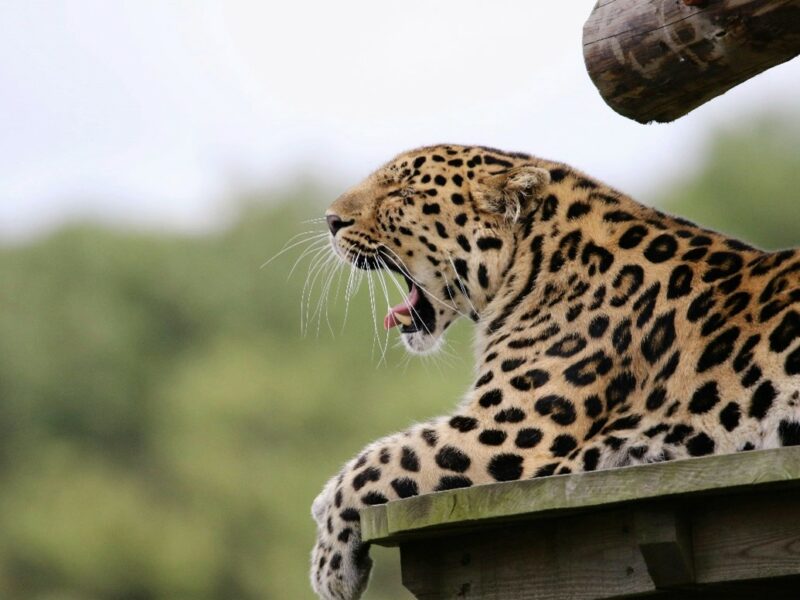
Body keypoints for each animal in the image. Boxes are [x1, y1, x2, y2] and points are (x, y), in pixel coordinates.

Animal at [310, 144, 800, 600]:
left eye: (403, 193)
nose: (331, 220)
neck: (535, 262)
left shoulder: (508, 431)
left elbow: (380, 460)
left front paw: (328, 562)